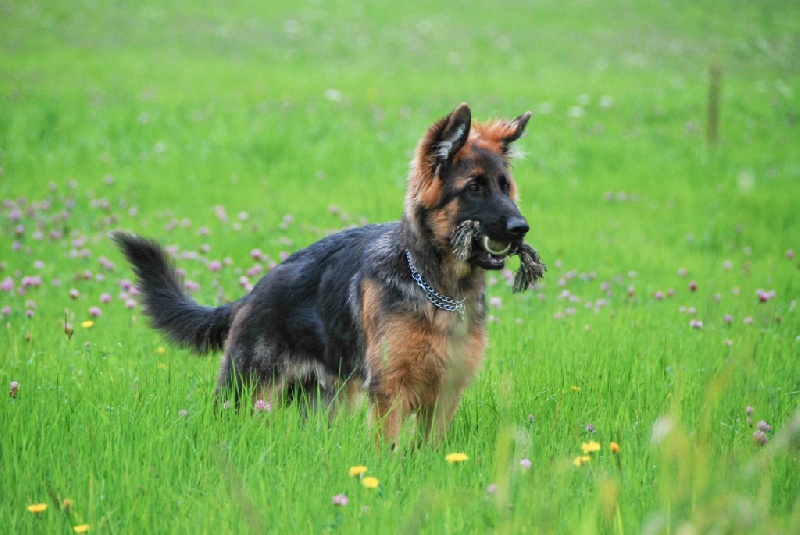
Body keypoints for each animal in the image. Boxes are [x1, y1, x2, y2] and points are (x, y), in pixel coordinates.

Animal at [114, 102, 544, 446]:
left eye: (505, 186)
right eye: (474, 187)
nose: (522, 228)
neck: (437, 290)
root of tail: (254, 290)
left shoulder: (445, 392)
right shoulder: (390, 389)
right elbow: (387, 448)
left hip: (329, 399)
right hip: (245, 390)